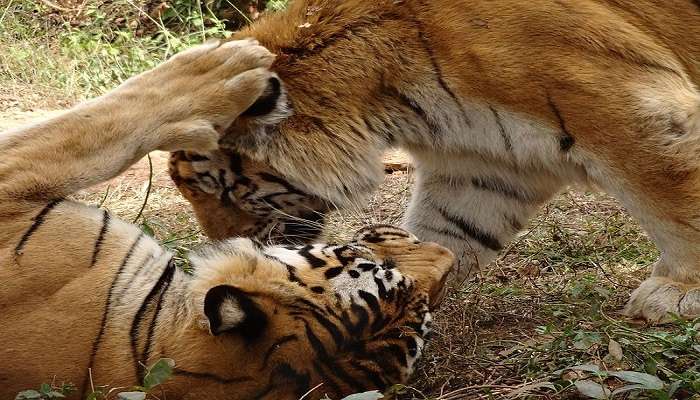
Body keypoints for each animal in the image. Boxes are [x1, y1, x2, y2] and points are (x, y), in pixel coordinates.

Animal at [172, 0, 700, 322]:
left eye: (222, 189)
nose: (226, 245)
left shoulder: (627, 107)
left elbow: (673, 200)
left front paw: (678, 293)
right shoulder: (482, 168)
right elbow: (447, 232)